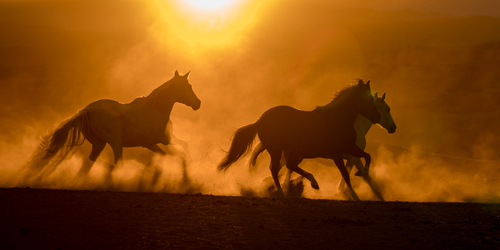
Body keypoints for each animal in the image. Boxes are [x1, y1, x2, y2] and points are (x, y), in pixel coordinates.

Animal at [23, 70, 199, 182]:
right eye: (189, 87)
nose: (198, 103)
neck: (155, 108)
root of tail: (87, 110)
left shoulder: (150, 144)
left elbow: (169, 154)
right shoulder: (166, 139)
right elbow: (183, 148)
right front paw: (188, 173)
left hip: (99, 143)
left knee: (89, 165)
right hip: (115, 142)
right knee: (116, 163)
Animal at [219, 79, 378, 198]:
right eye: (368, 98)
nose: (377, 116)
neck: (337, 119)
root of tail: (260, 121)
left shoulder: (347, 149)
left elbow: (366, 157)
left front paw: (361, 174)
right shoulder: (339, 152)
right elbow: (349, 171)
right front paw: (355, 186)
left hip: (292, 151)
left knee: (288, 166)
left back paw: (309, 184)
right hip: (278, 150)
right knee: (276, 169)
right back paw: (287, 191)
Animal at [248, 92, 396, 199]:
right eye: (387, 108)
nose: (393, 128)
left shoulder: (354, 156)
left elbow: (366, 176)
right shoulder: (350, 156)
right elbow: (349, 173)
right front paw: (343, 191)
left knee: (282, 169)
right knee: (280, 168)